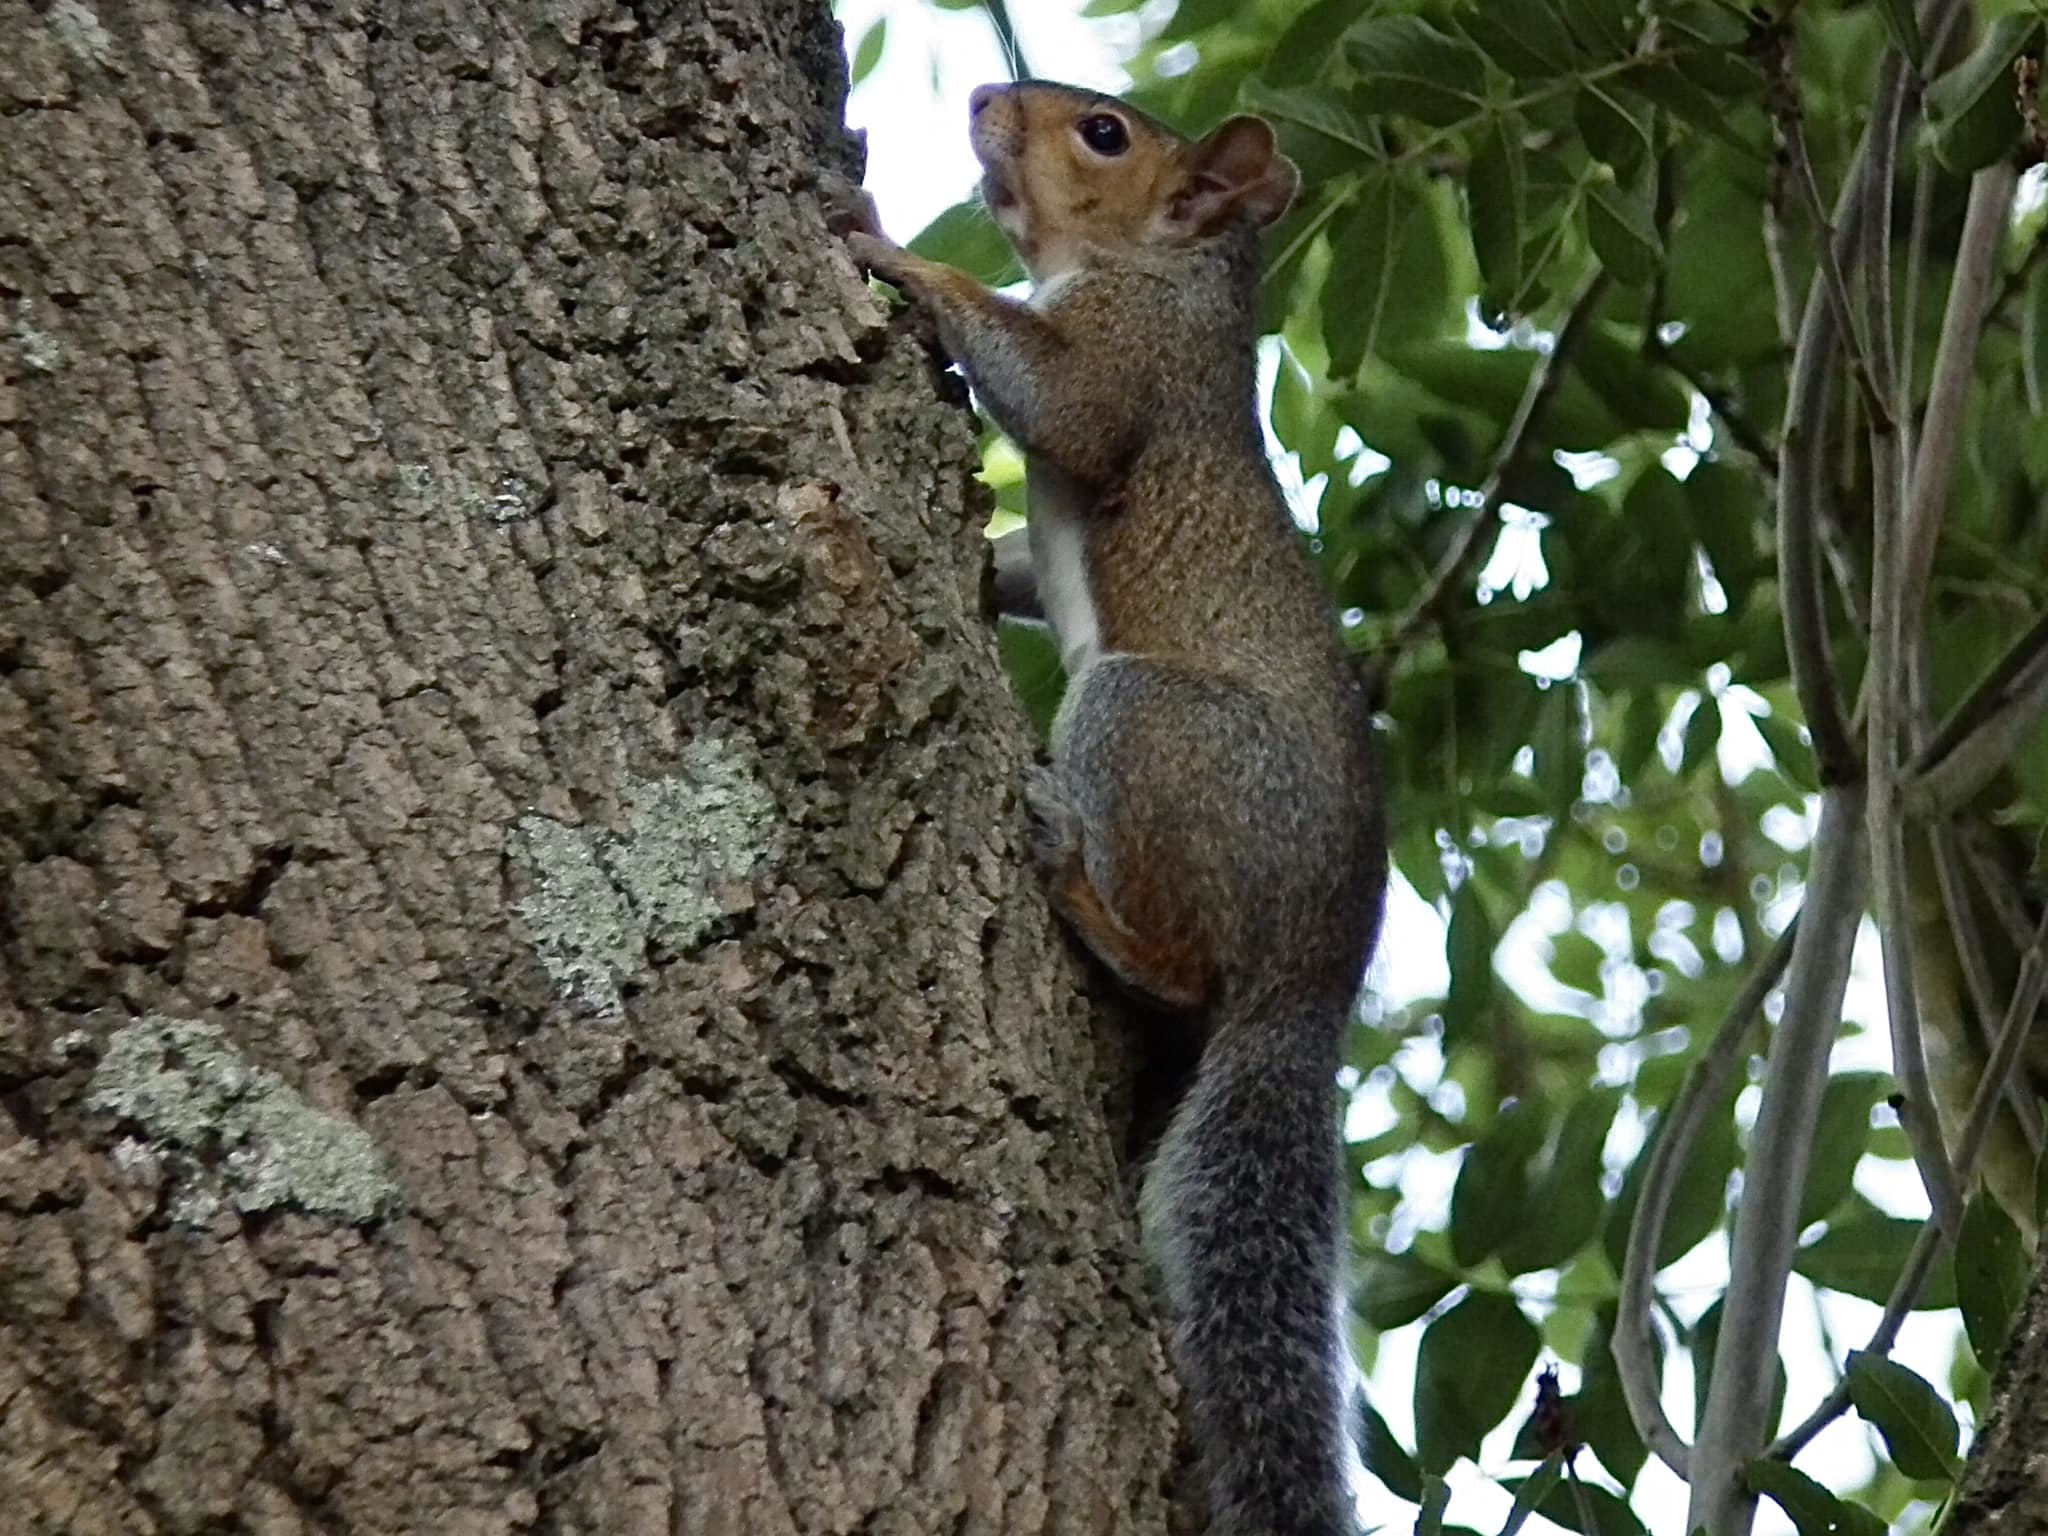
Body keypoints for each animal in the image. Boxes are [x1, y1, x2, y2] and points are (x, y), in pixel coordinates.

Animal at [831, 83, 1392, 1536]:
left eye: (1102, 135)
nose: (987, 98)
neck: (1158, 274)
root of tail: (1314, 975)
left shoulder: (1129, 369)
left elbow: (1064, 406)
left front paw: (891, 247)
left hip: (1147, 725)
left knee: (1178, 969)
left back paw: (1076, 889)